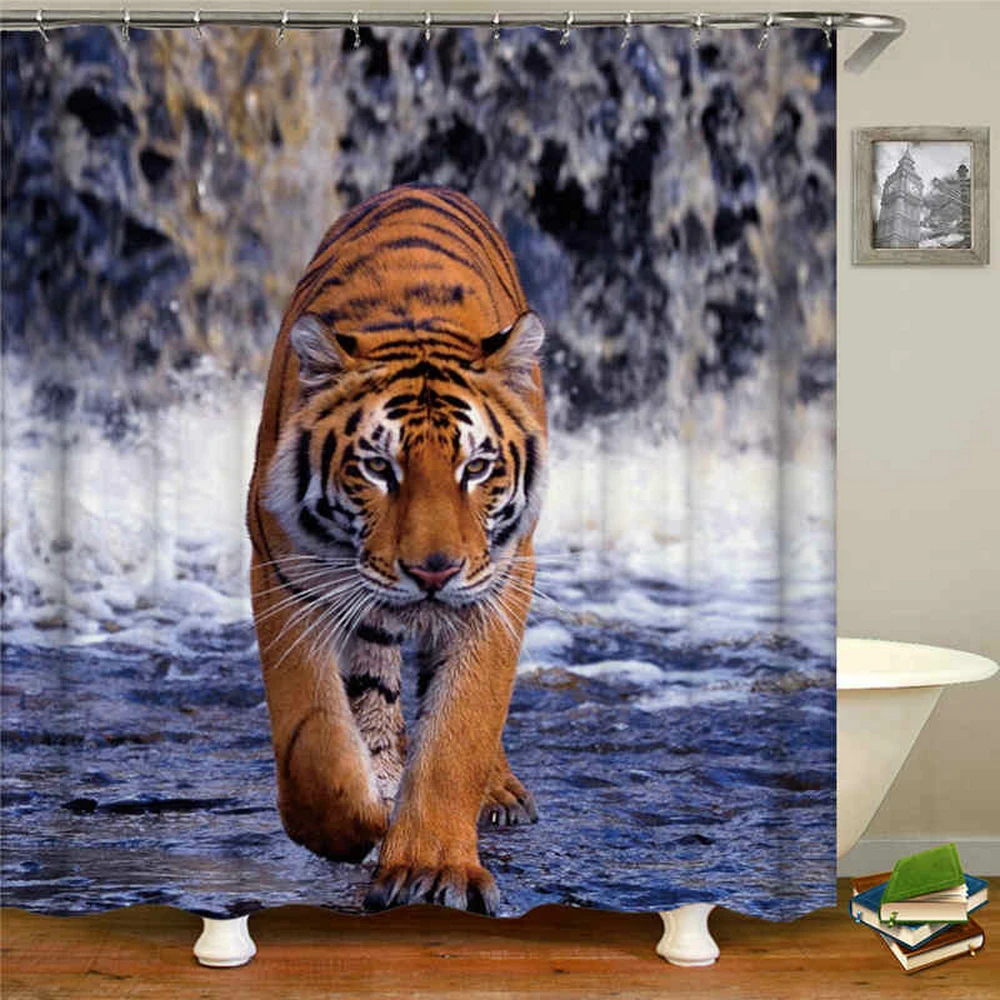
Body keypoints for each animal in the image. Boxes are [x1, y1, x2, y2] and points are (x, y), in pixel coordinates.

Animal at [246, 185, 547, 915]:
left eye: (476, 467)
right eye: (379, 468)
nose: (433, 571)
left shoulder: (498, 585)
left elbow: (461, 730)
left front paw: (431, 867)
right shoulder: (285, 576)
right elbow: (314, 736)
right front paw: (350, 826)